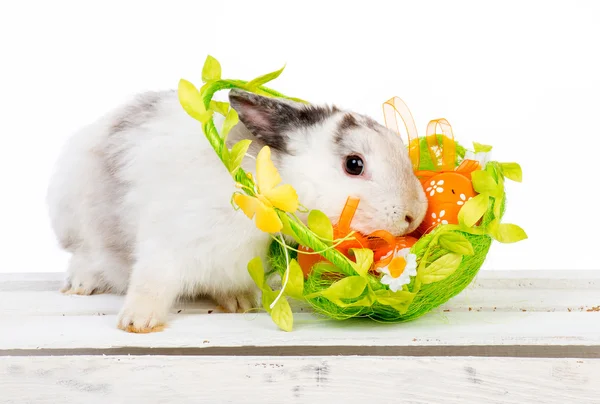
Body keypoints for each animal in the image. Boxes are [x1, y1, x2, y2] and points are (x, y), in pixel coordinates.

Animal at [48, 90, 432, 332]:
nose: (414, 213)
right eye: (354, 164)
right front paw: (136, 323)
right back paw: (80, 285)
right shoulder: (167, 244)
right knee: (84, 255)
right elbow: (151, 282)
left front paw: (240, 302)